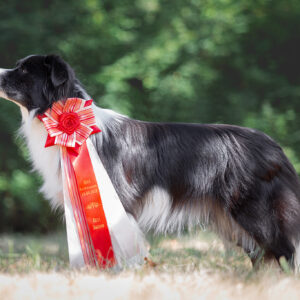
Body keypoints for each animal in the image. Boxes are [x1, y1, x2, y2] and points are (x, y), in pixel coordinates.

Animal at [0, 55, 300, 270]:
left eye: (24, 71)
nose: (0, 72)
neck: (70, 123)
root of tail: (275, 147)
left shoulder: (116, 201)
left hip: (255, 211)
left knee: (285, 251)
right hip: (231, 220)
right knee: (263, 255)